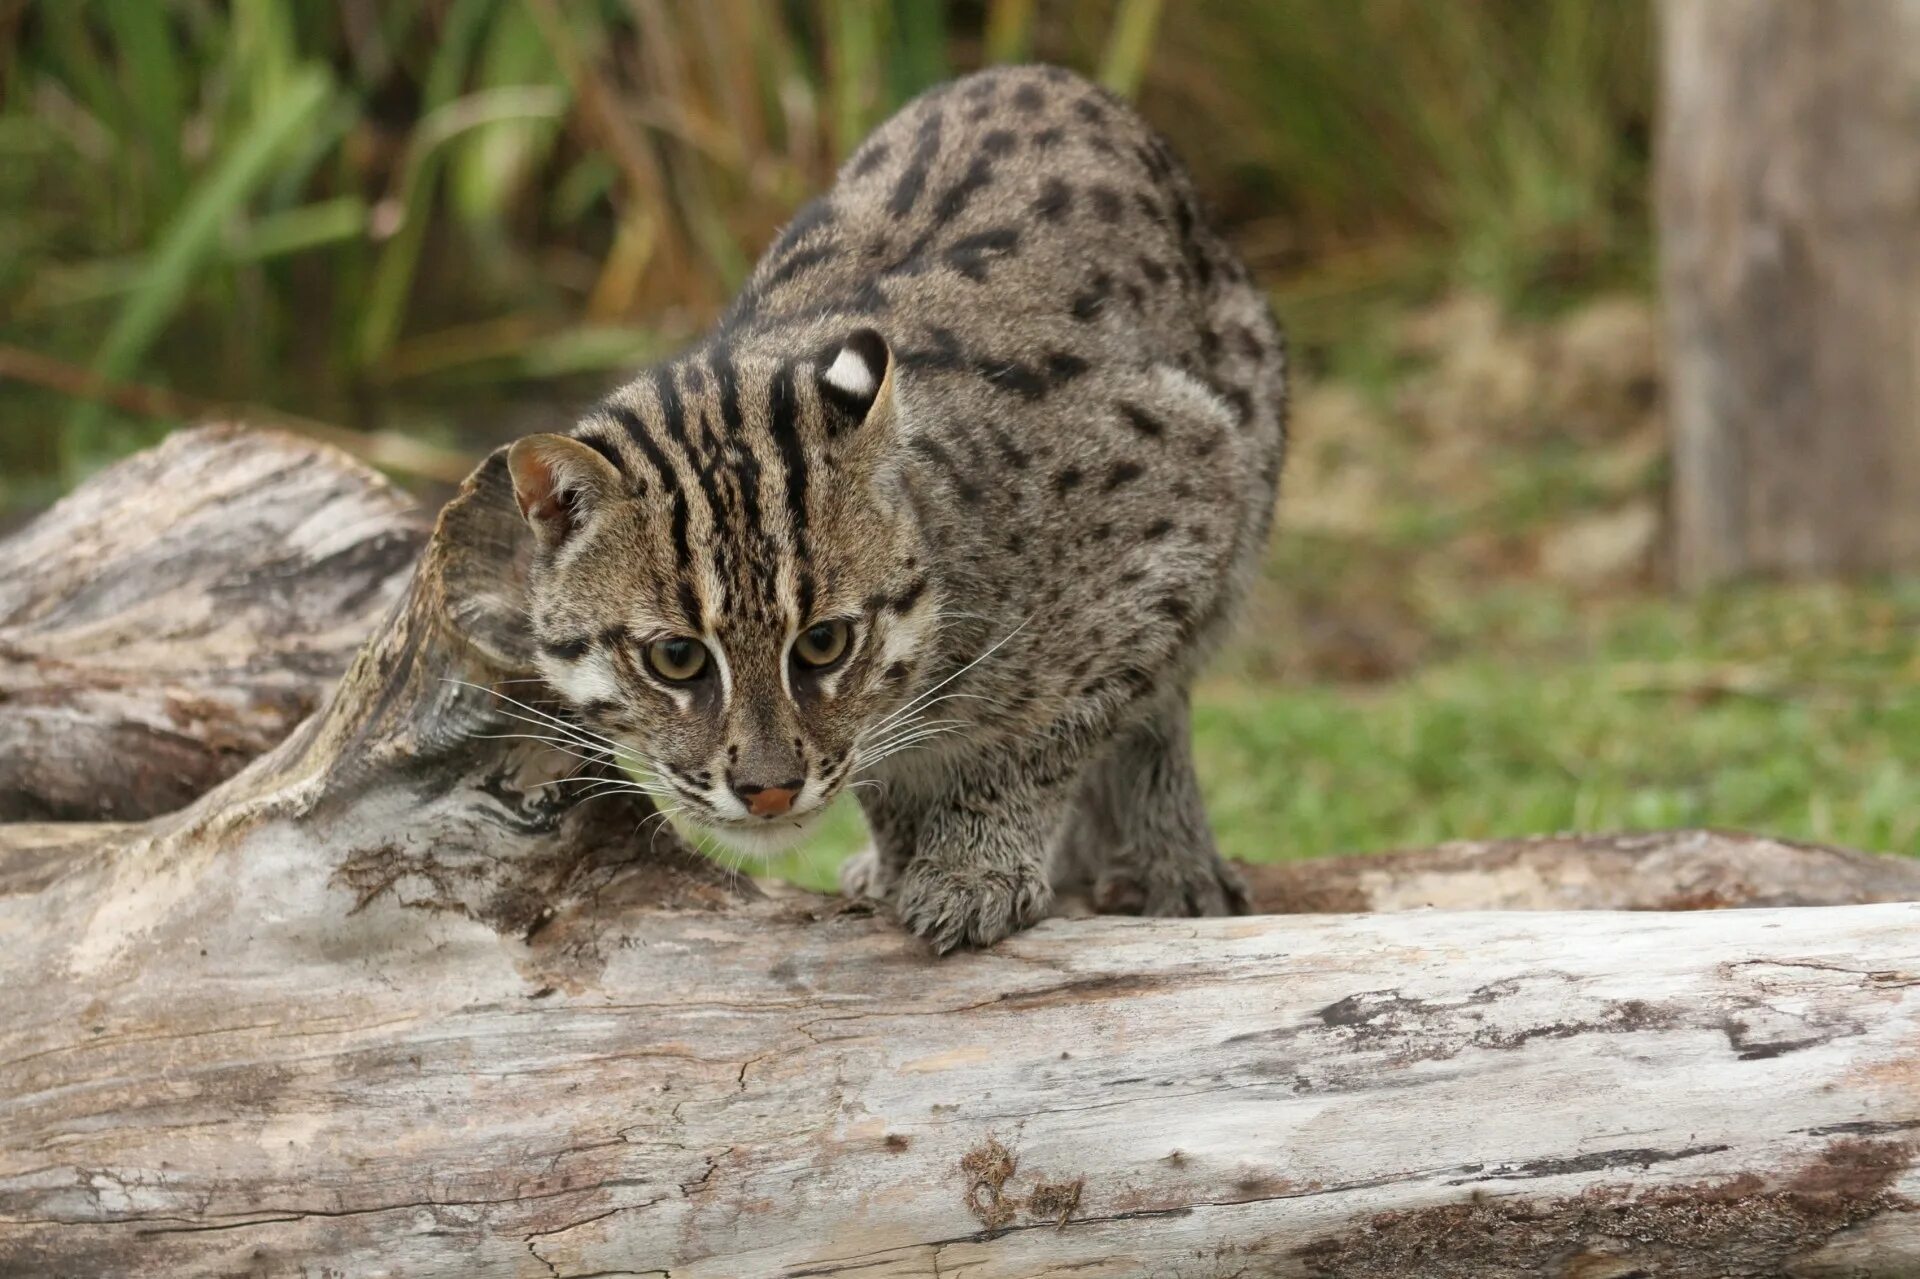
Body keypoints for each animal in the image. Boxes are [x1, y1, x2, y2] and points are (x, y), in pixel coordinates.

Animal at [510, 64, 1290, 952]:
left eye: (824, 643)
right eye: (675, 657)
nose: (770, 790)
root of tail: (1039, 74)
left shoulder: (1186, 496)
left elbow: (1046, 730)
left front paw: (975, 867)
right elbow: (883, 766)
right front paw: (902, 855)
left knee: (1162, 700)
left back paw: (1171, 864)